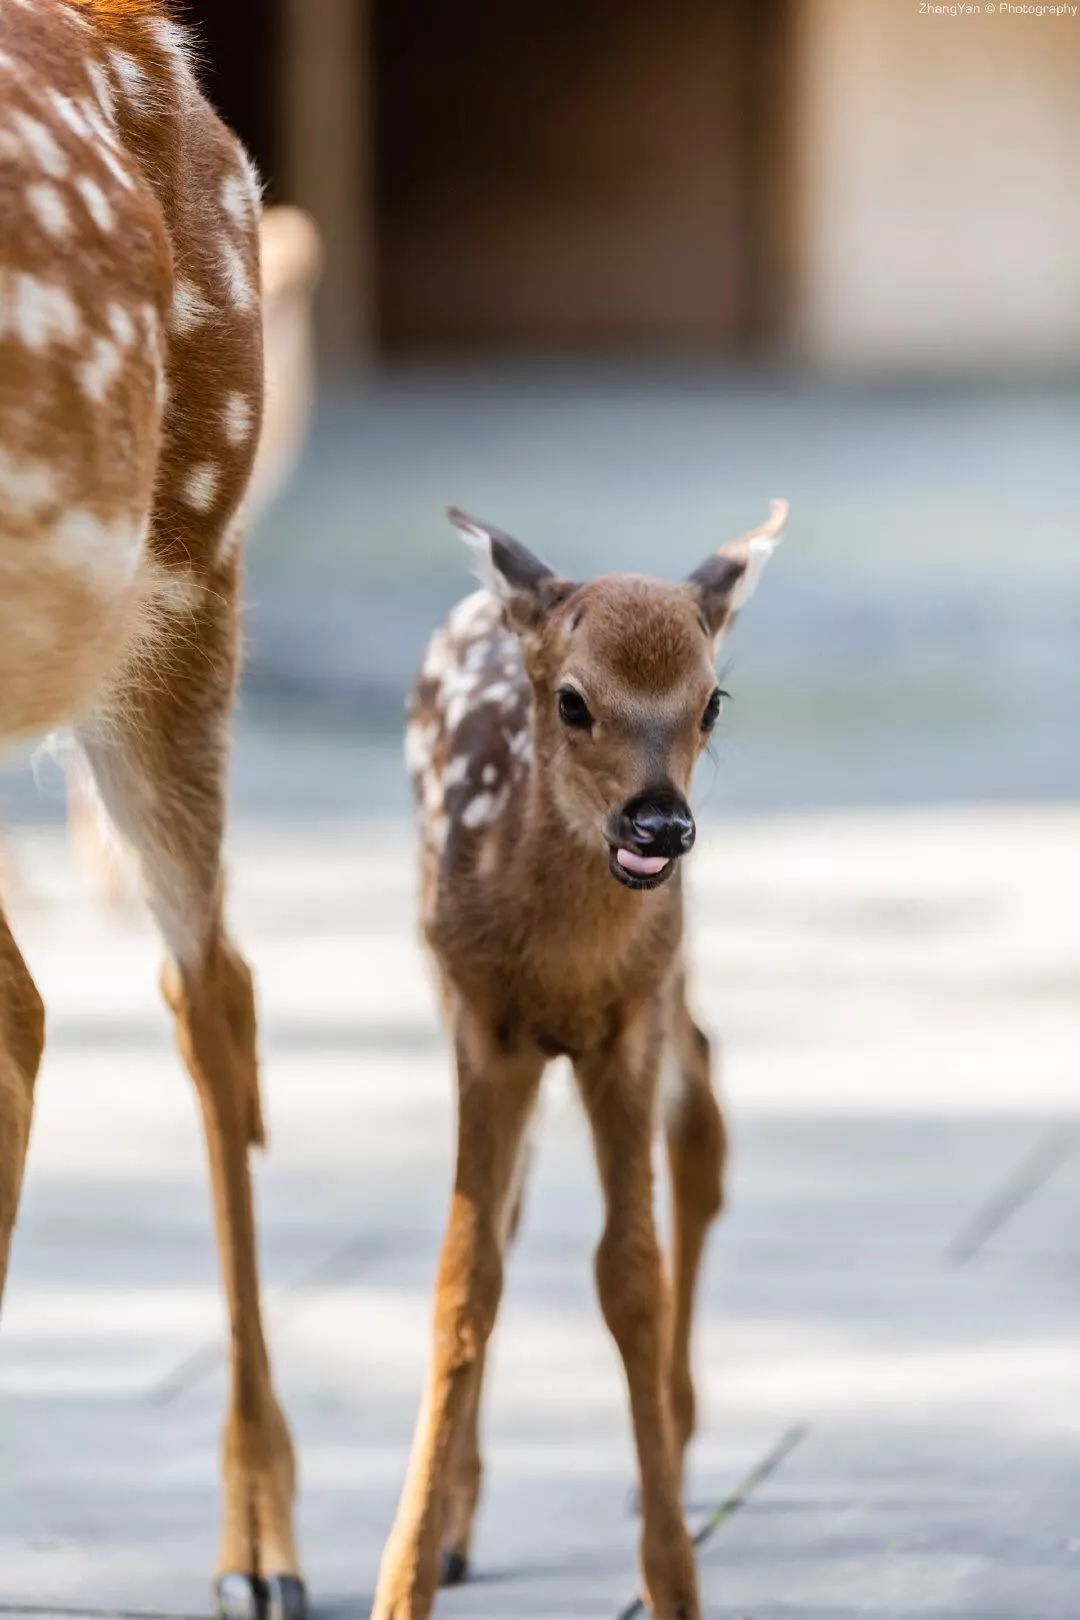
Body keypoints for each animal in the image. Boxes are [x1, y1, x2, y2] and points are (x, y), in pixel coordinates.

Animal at [383, 498, 790, 1613]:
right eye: (573, 702)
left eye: (711, 701)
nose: (659, 823)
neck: (562, 967)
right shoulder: (484, 1026)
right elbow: (465, 1275)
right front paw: (405, 1575)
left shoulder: (627, 1024)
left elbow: (631, 1280)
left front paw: (675, 1581)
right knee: (519, 1210)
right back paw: (458, 1529)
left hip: (673, 975)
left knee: (705, 1116)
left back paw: (679, 1452)